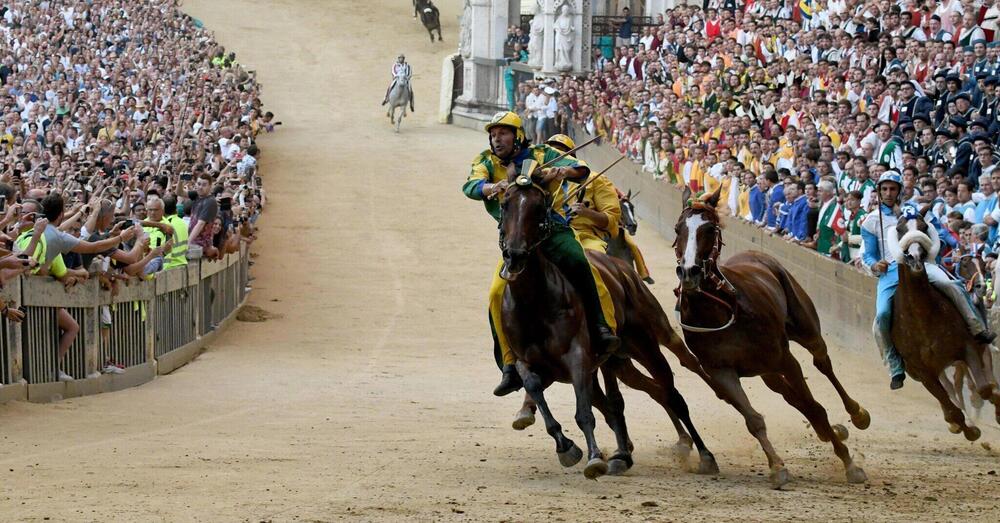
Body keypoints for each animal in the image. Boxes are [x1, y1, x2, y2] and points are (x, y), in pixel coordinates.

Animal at [500, 167, 720, 478]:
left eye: (538, 207)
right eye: (505, 204)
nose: (515, 255)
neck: (535, 301)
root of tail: (623, 271)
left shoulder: (578, 355)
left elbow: (586, 411)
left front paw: (594, 457)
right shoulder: (528, 360)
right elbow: (534, 388)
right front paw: (566, 446)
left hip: (647, 340)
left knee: (673, 387)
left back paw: (704, 451)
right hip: (619, 360)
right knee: (653, 392)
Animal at [676, 186, 872, 490]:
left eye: (708, 229)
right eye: (679, 228)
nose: (689, 272)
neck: (722, 309)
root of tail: (759, 255)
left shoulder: (784, 358)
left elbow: (815, 406)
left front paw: (850, 464)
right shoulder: (721, 371)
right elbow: (754, 420)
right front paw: (777, 466)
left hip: (805, 326)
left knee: (822, 363)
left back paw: (856, 414)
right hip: (765, 370)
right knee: (790, 395)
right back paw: (828, 429)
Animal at [896, 209, 1000, 438]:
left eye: (924, 226)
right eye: (899, 229)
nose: (981, 286)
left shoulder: (972, 347)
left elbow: (985, 384)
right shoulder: (926, 370)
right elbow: (955, 398)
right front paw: (965, 422)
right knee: (950, 388)